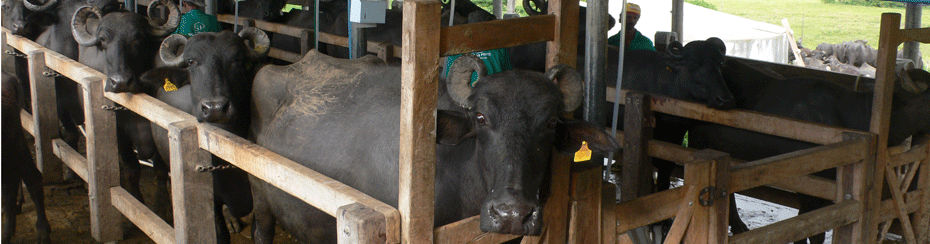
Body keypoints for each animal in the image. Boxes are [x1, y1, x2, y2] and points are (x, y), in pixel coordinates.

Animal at [70, 0, 179, 218]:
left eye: (139, 38)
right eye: (103, 40)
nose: (120, 82)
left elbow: (161, 171)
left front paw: (161, 207)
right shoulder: (120, 135)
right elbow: (132, 171)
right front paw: (135, 203)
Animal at [688, 58, 928, 244]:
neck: (847, 115)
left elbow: (805, 223)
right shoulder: (808, 186)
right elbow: (812, 229)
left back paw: (738, 226)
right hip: (698, 141)